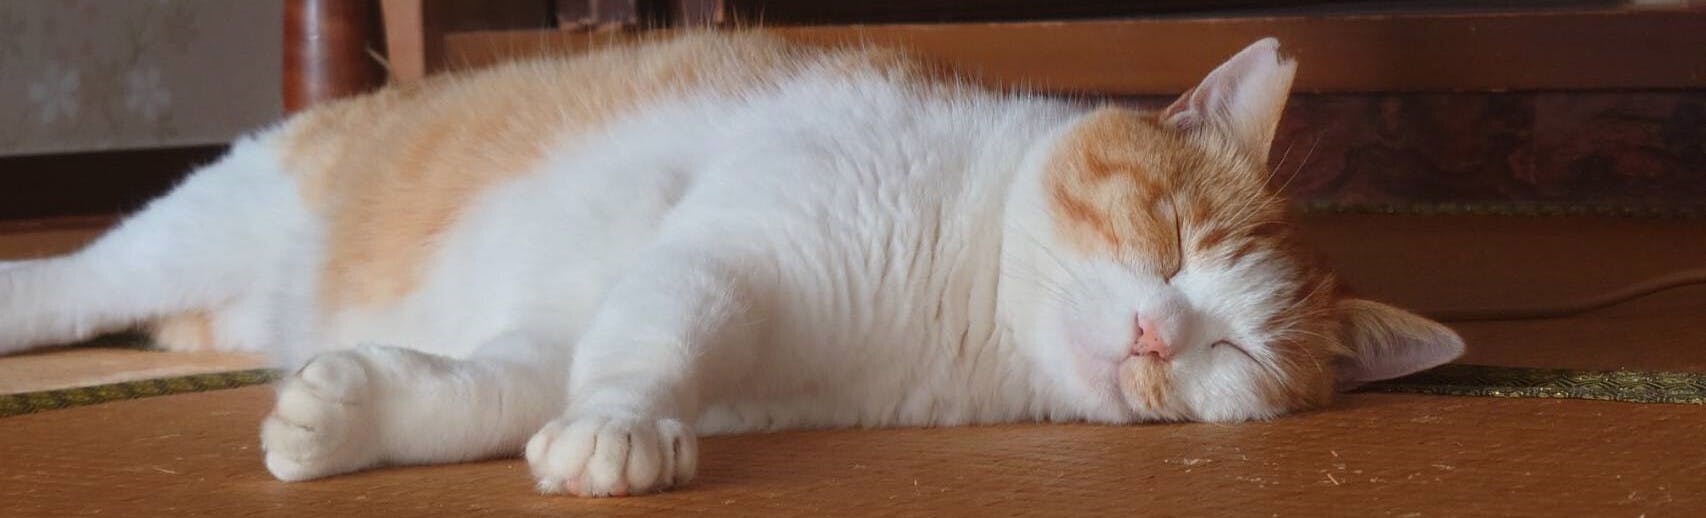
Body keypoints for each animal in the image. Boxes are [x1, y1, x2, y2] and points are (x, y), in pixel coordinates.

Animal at [0, 32, 1462, 497]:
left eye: (1236, 350)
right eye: (1165, 238)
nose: (1161, 335)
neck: (956, 301)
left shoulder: (592, 321)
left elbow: (504, 386)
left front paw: (345, 415)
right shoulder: (719, 256)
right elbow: (644, 356)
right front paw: (622, 432)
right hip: (222, 207)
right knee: (82, 279)